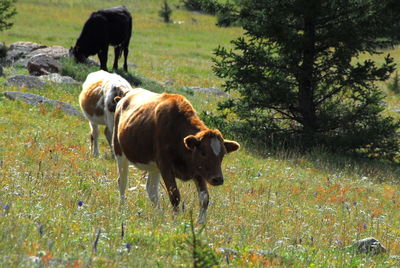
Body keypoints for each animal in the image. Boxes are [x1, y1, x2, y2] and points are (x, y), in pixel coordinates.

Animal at [112, 88, 239, 224]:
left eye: (223, 154)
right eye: (203, 153)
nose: (218, 179)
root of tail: (127, 94)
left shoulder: (197, 171)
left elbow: (204, 198)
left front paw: (201, 223)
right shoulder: (166, 166)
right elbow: (175, 196)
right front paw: (175, 222)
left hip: (154, 166)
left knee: (151, 190)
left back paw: (160, 216)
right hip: (120, 153)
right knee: (122, 182)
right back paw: (122, 208)